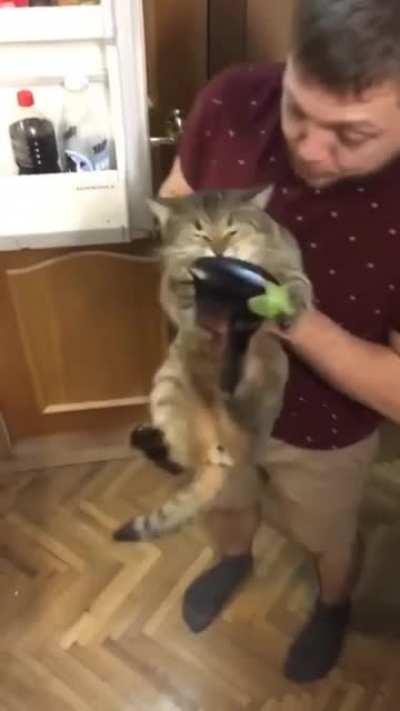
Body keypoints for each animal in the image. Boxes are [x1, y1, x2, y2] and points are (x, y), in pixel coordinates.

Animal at [112, 186, 312, 544]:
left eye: (233, 229)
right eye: (199, 231)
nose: (219, 251)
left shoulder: (286, 256)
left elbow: (294, 281)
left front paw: (292, 305)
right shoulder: (177, 281)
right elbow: (181, 289)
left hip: (271, 372)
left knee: (238, 443)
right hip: (167, 390)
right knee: (198, 459)